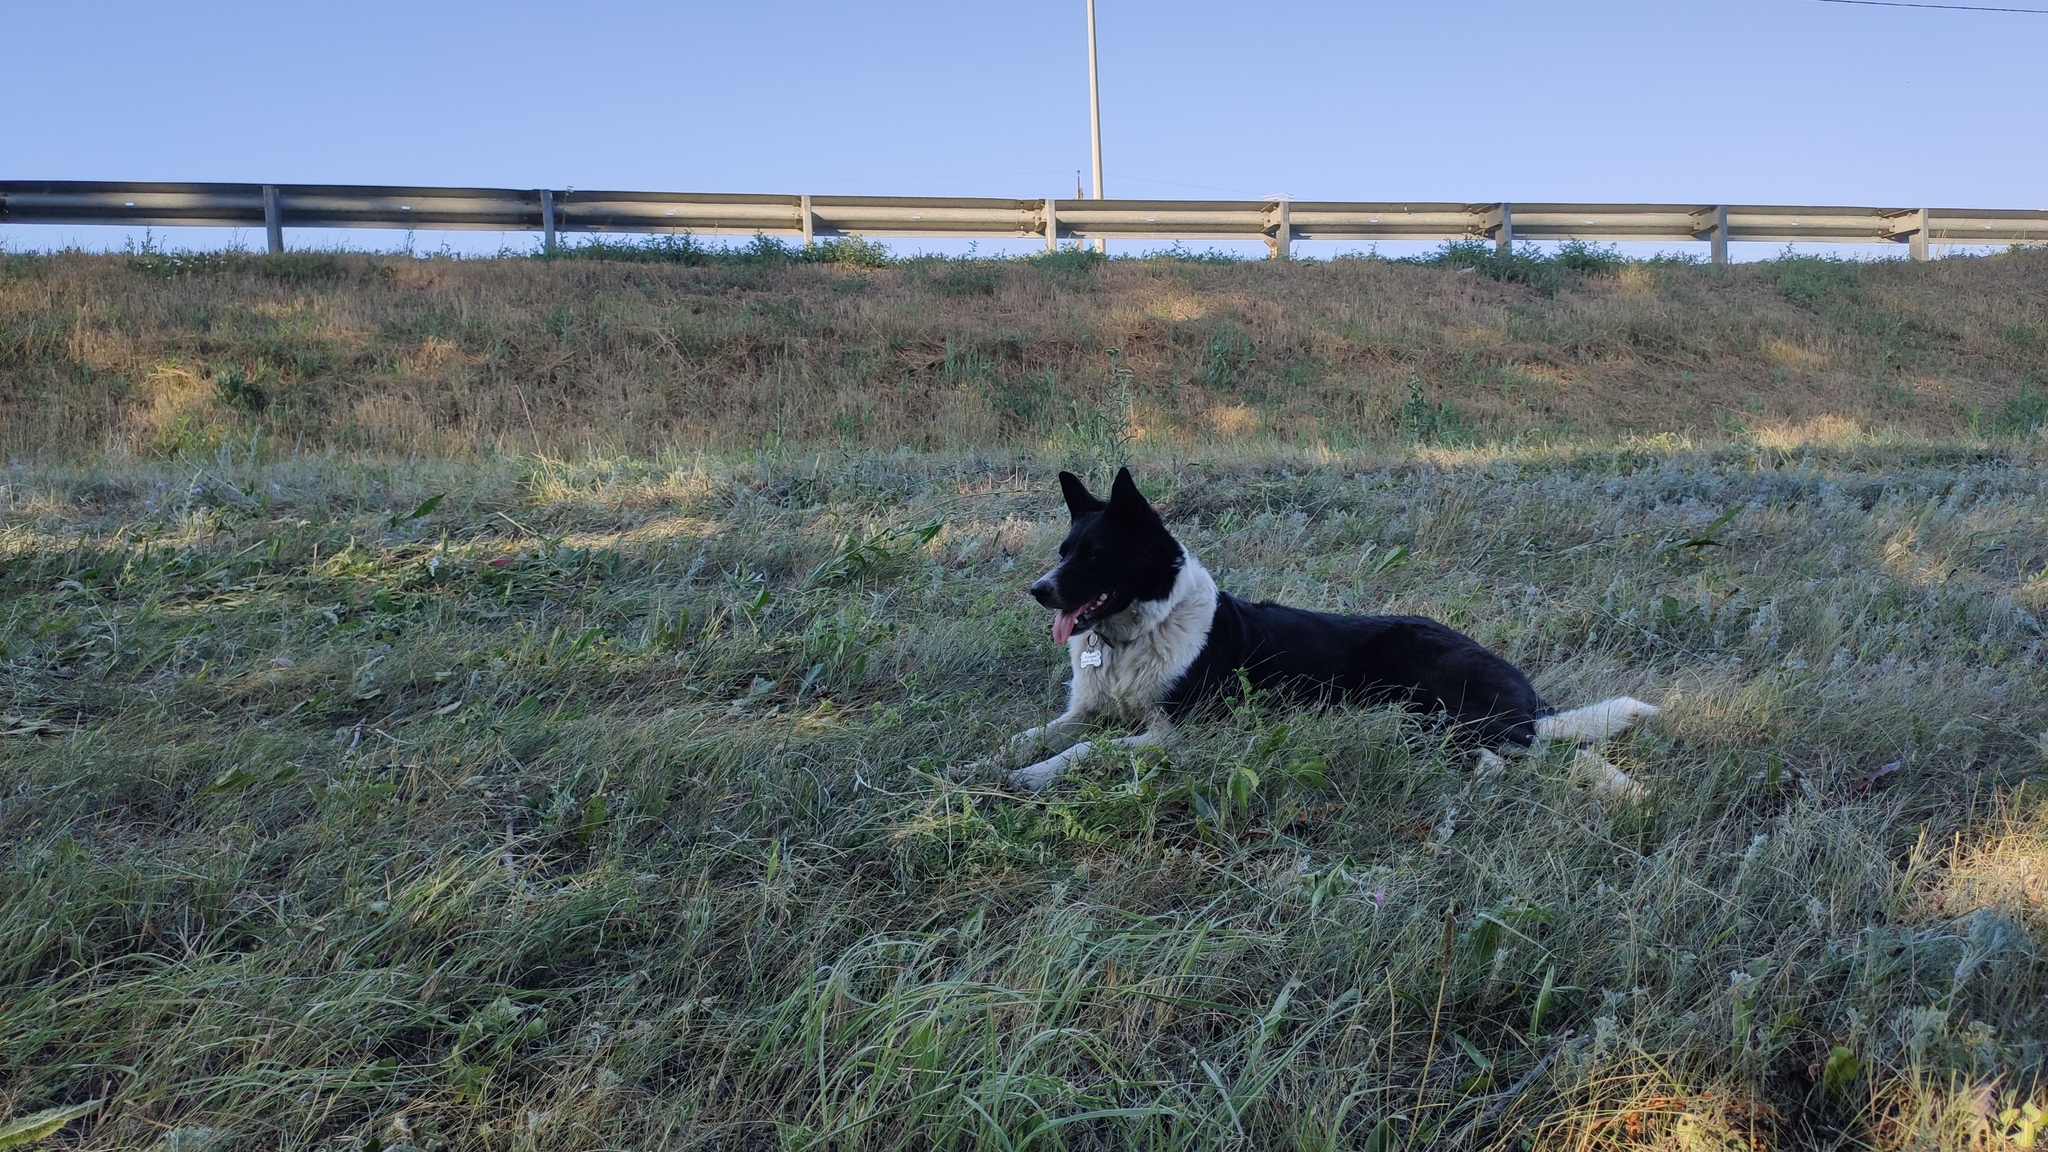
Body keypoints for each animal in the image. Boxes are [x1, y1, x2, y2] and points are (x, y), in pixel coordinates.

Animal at [999, 467, 1654, 787]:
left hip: (1434, 707)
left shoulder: (1175, 734)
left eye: (1093, 556)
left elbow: (1085, 748)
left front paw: (1034, 774)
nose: (1037, 591)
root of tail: (1532, 701)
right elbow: (1035, 733)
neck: (1137, 633)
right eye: (1063, 551)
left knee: (1522, 753)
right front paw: (1001, 758)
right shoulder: (1084, 710)